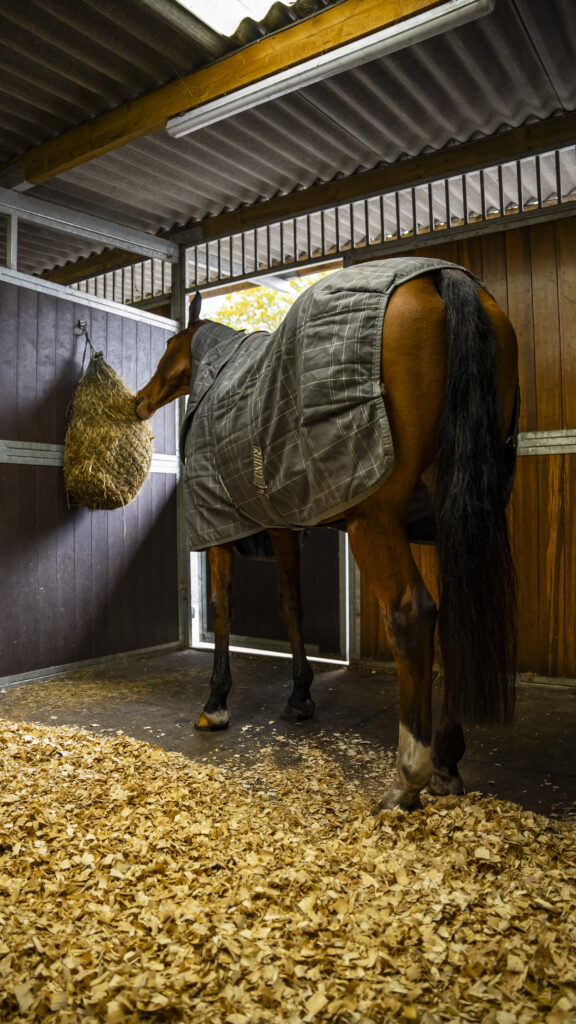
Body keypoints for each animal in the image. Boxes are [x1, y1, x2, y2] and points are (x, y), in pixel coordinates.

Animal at [136, 258, 519, 811]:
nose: (140, 400)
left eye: (170, 346)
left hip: (374, 520)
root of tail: (441, 279)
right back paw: (447, 762)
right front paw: (300, 697)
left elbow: (224, 608)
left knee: (413, 615)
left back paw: (408, 778)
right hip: (450, 512)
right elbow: (291, 605)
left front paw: (216, 703)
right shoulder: (281, 525)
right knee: (453, 616)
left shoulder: (218, 527)